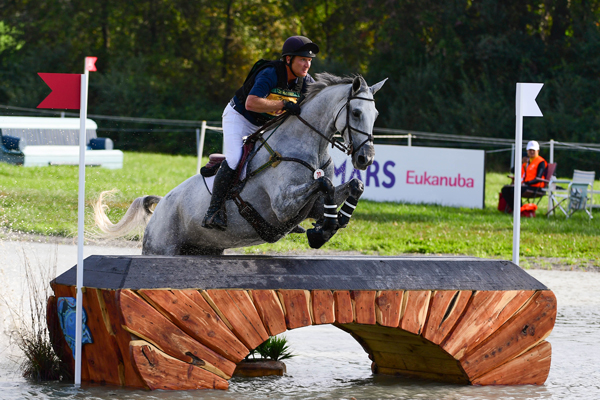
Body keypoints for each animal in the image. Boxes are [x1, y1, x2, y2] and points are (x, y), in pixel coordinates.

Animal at [94, 73, 384, 255]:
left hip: (205, 250)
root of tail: (161, 205)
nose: (366, 158)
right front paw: (322, 232)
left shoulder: (310, 206)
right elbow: (324, 183)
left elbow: (352, 186)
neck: (307, 144)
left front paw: (335, 222)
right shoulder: (283, 205)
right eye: (356, 112)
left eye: (376, 114)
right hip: (161, 249)